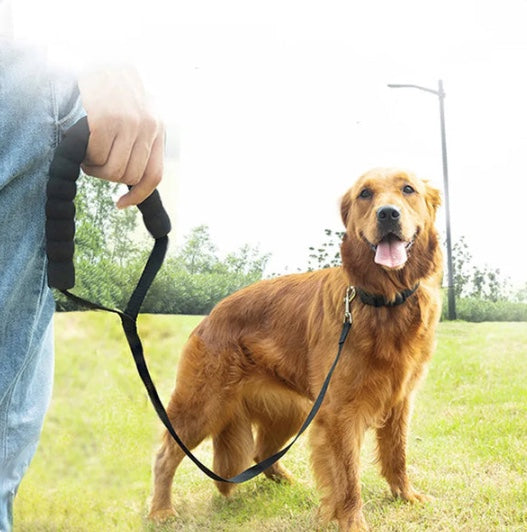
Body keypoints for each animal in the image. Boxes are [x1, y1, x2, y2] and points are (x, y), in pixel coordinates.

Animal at [150, 168, 446, 528]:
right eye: (365, 194)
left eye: (408, 189)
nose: (388, 213)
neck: (382, 301)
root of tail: (211, 316)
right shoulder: (339, 412)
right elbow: (348, 477)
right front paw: (351, 521)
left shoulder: (399, 401)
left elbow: (397, 454)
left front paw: (405, 495)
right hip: (203, 405)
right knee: (166, 454)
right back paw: (160, 509)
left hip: (293, 411)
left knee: (262, 452)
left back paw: (288, 481)